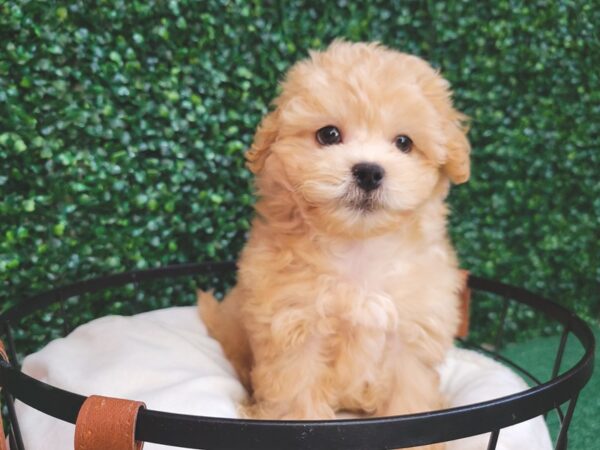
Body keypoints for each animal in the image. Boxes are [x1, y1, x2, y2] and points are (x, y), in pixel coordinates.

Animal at [199, 39, 472, 440]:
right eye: (328, 135)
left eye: (404, 142)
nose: (369, 172)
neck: (358, 245)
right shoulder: (293, 330)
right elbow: (296, 396)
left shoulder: (412, 335)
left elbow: (410, 399)